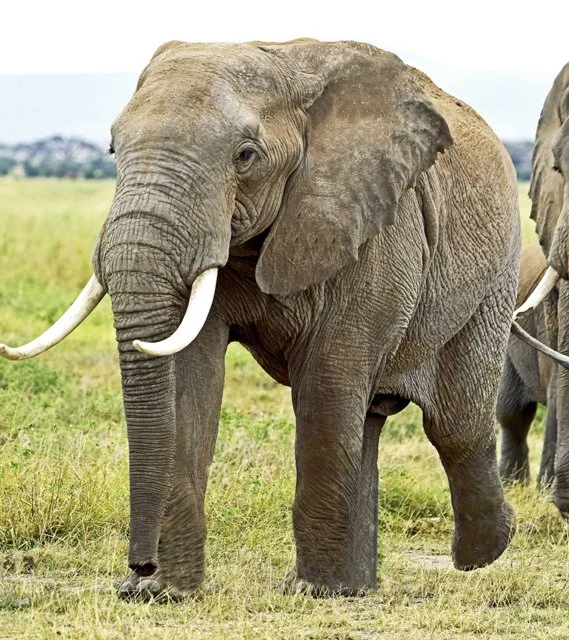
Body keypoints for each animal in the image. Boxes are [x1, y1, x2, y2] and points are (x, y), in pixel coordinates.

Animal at [0, 39, 522, 599]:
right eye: (113, 151)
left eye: (246, 155)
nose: (137, 570)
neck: (286, 65)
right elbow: (189, 376)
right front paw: (168, 593)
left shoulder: (375, 228)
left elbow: (327, 384)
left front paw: (310, 591)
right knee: (373, 422)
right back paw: (357, 588)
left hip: (493, 278)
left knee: (454, 425)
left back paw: (481, 552)